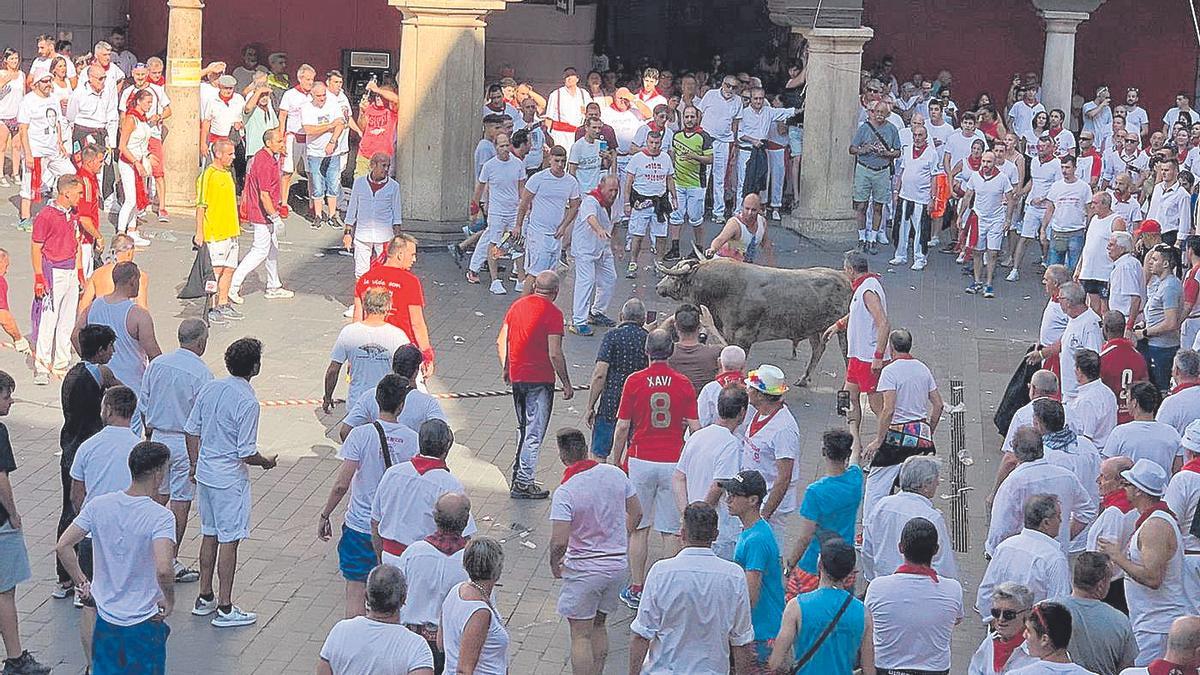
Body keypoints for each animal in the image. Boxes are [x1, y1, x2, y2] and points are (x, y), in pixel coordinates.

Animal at [657, 255, 854, 386]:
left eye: (673, 276)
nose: (659, 287)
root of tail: (845, 278)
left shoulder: (742, 337)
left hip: (844, 330)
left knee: (846, 354)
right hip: (814, 328)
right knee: (818, 349)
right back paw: (803, 379)